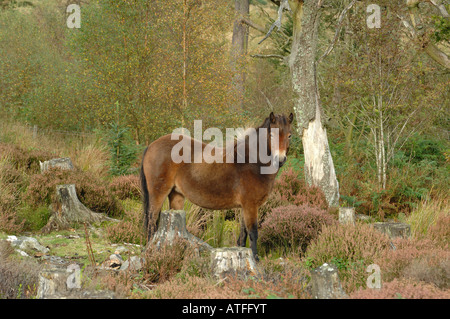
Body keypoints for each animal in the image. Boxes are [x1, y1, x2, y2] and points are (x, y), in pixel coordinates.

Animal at [142, 112, 296, 260]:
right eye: (271, 135)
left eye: (289, 135)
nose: (280, 159)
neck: (251, 162)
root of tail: (151, 145)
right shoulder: (251, 205)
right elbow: (253, 233)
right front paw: (256, 259)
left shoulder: (245, 207)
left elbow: (243, 235)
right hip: (158, 194)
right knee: (151, 224)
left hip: (176, 196)